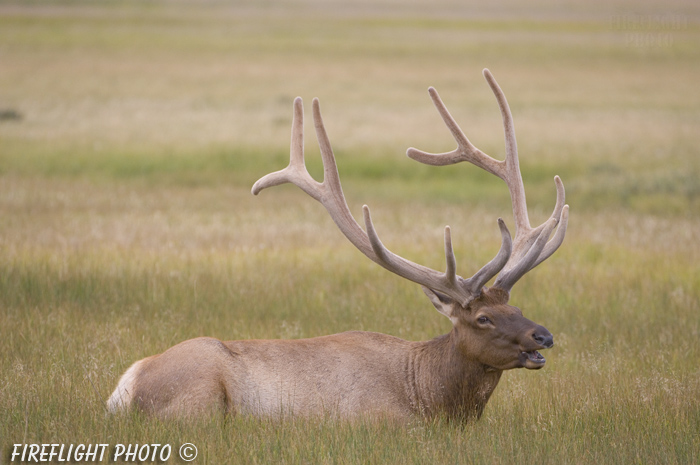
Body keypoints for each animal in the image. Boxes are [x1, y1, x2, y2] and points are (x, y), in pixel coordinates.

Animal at [108, 69, 568, 420]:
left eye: (517, 309)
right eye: (483, 318)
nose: (543, 336)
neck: (429, 396)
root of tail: (126, 384)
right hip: (200, 400)